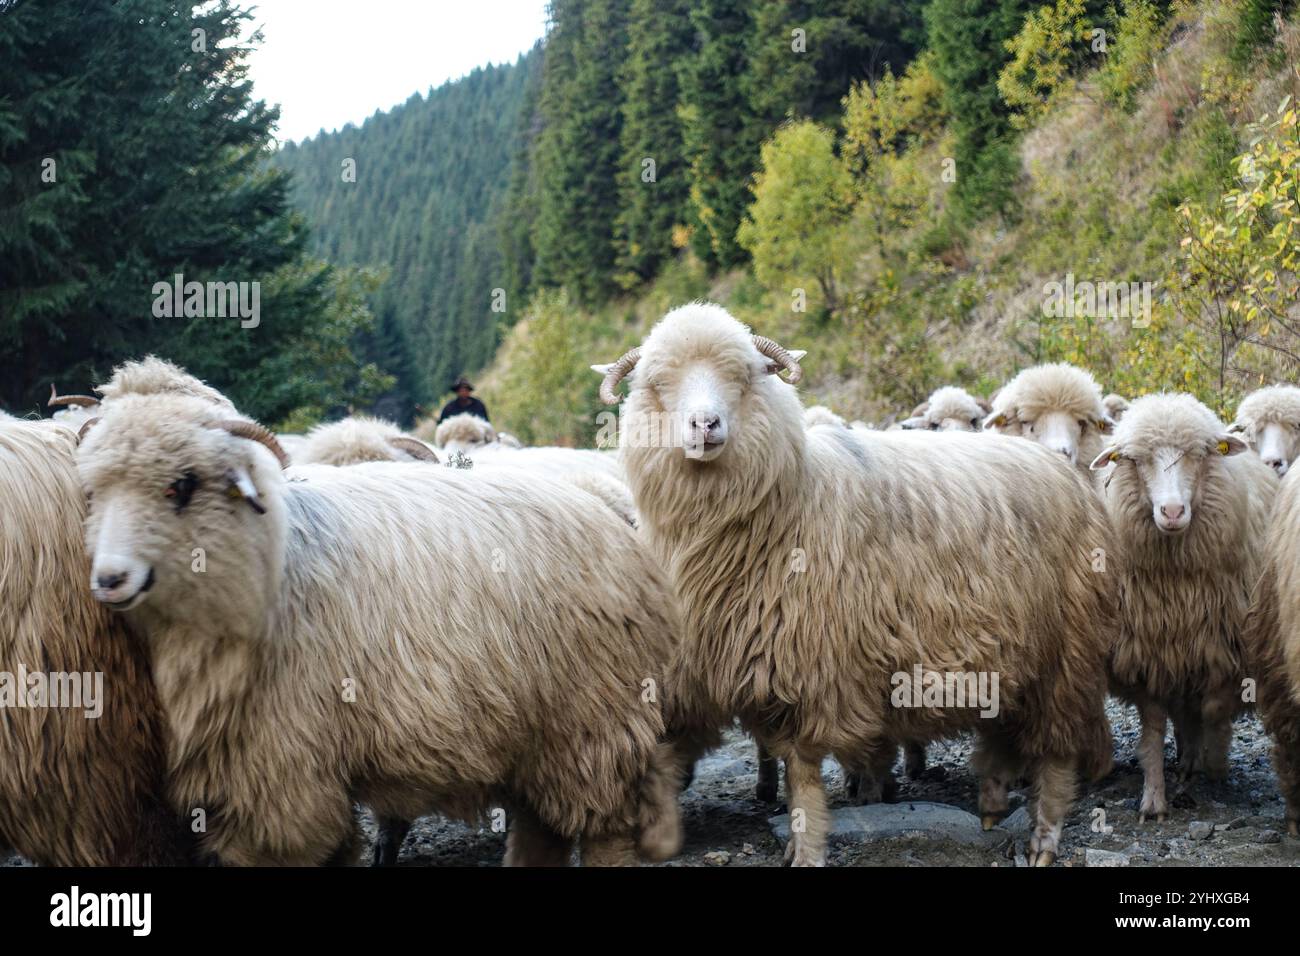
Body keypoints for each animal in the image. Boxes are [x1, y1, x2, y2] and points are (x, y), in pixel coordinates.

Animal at [1089, 393, 1276, 821]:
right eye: (1136, 460)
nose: (1172, 512)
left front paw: (1215, 759)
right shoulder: (1150, 653)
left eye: (1198, 454)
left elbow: (1213, 708)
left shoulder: (1225, 647)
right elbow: (1155, 729)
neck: (1176, 584)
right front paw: (1153, 799)